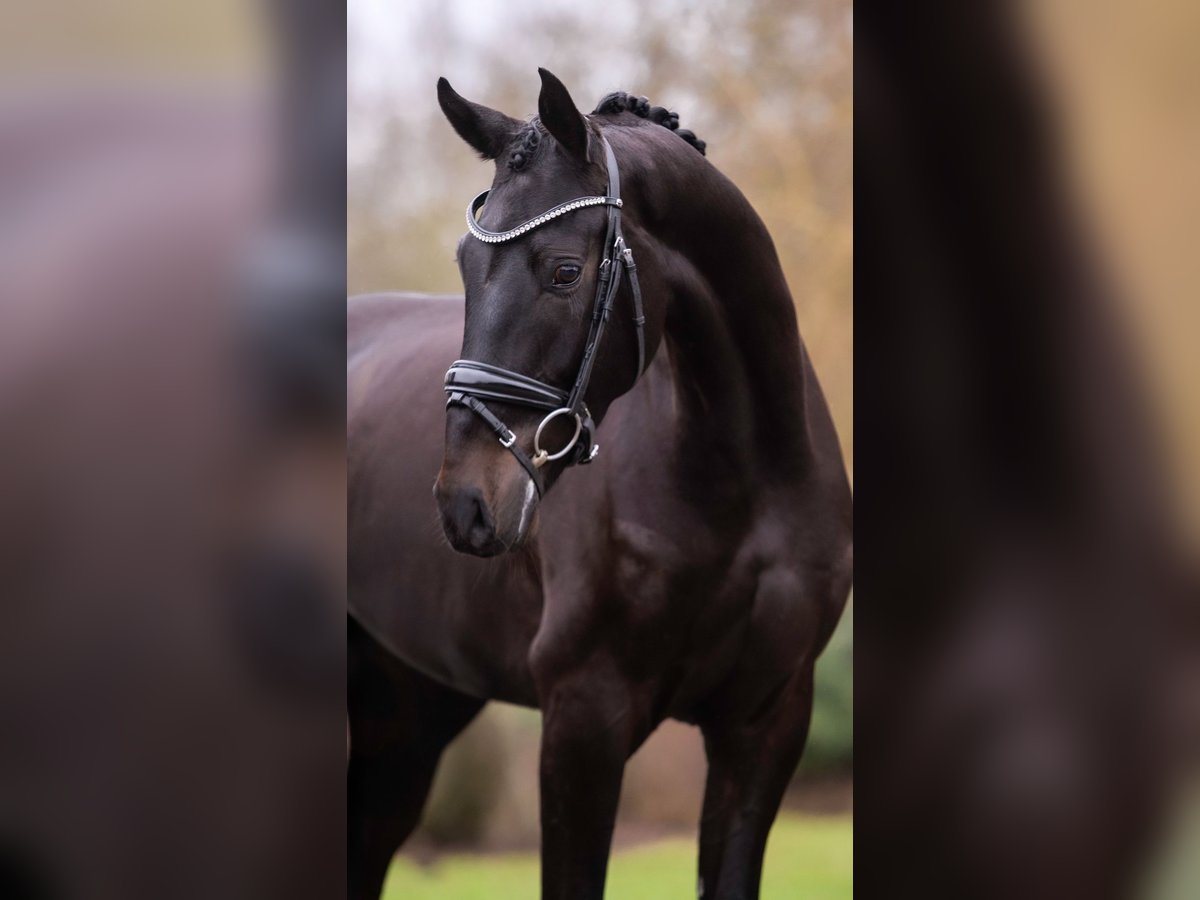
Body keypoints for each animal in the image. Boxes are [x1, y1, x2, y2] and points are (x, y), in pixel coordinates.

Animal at [348, 70, 854, 900]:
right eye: (464, 265)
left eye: (564, 270)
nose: (467, 504)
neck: (741, 483)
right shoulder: (584, 719)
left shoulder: (765, 723)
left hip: (408, 714)